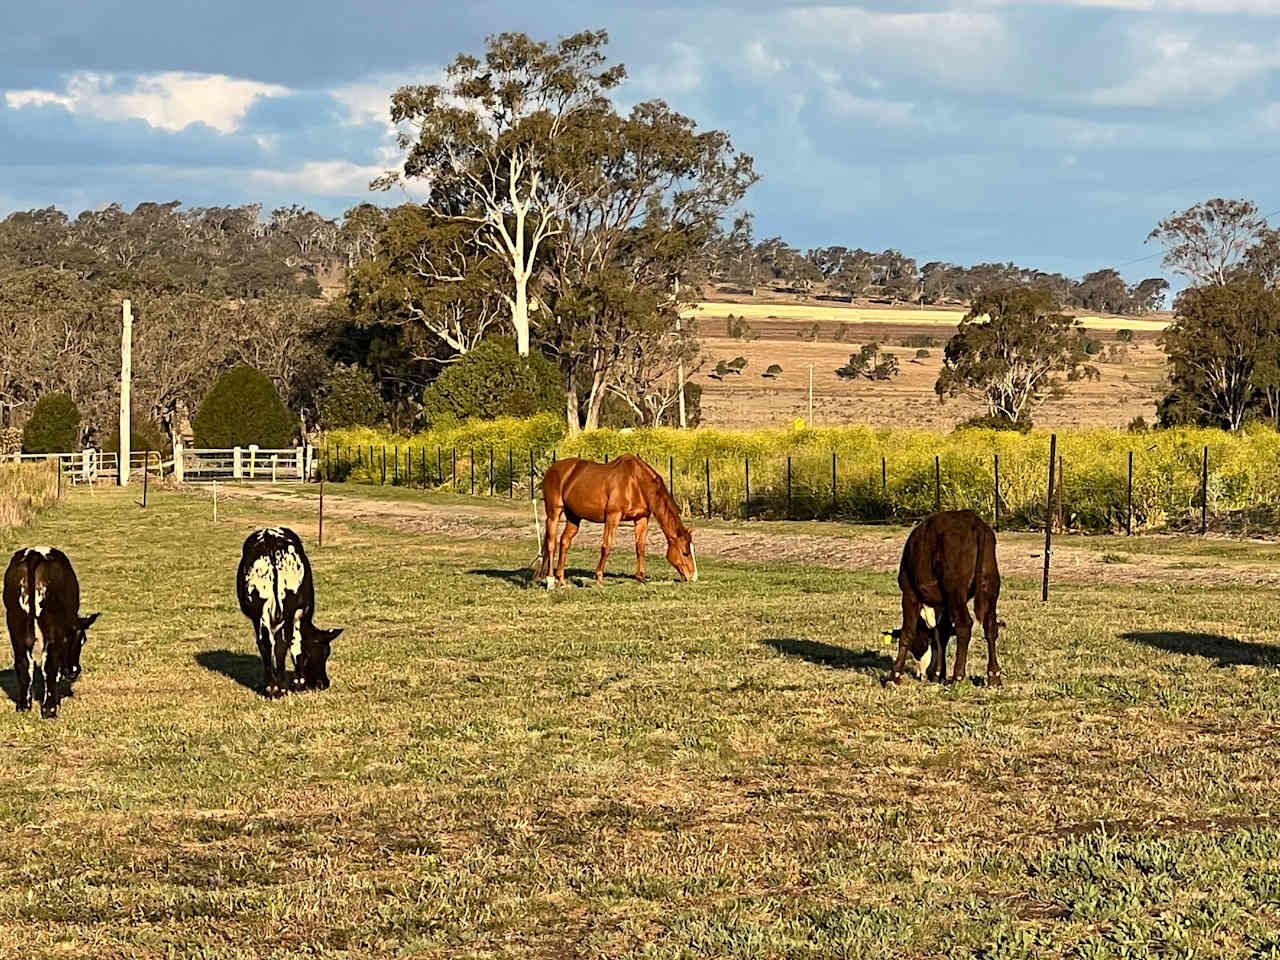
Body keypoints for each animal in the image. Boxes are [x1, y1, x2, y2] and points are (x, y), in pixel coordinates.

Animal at [2, 547, 98, 721]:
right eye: (83, 640)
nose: (74, 672)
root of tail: (34, 554)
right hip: (50, 624)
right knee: (49, 663)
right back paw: (50, 710)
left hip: (16, 620)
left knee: (23, 661)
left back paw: (23, 706)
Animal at [236, 527, 343, 701]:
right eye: (323, 652)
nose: (323, 684)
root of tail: (270, 539)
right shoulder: (298, 614)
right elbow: (295, 644)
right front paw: (299, 682)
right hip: (287, 610)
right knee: (282, 643)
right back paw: (281, 688)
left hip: (260, 610)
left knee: (265, 643)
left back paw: (272, 688)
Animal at [535, 455, 696, 586]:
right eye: (685, 553)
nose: (693, 578)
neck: (635, 482)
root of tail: (551, 469)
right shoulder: (613, 517)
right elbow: (606, 546)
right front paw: (599, 578)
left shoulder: (641, 519)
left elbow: (640, 547)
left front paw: (640, 577)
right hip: (554, 513)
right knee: (551, 544)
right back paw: (550, 580)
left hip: (574, 517)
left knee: (564, 542)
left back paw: (561, 580)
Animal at [885, 512, 1003, 691]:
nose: (921, 674)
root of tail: (974, 521)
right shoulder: (944, 604)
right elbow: (941, 634)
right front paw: (938, 673)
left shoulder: (909, 594)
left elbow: (907, 633)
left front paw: (895, 676)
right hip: (989, 586)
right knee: (990, 627)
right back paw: (994, 676)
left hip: (955, 590)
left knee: (964, 625)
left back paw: (958, 676)